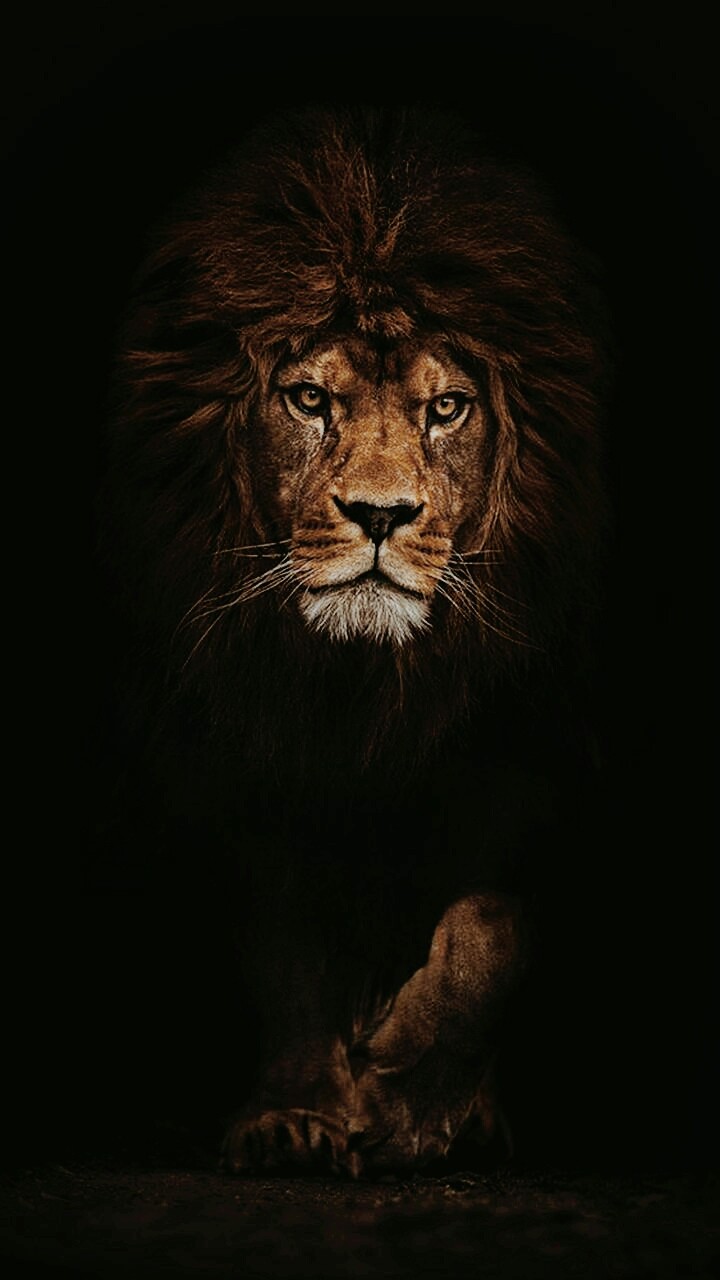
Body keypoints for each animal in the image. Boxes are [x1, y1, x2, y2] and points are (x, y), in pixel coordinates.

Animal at [100, 106, 607, 1176]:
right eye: (308, 399)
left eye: (446, 407)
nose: (380, 514)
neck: (363, 689)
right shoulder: (243, 766)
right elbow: (284, 949)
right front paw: (297, 1116)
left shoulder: (533, 755)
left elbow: (492, 928)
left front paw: (410, 1100)